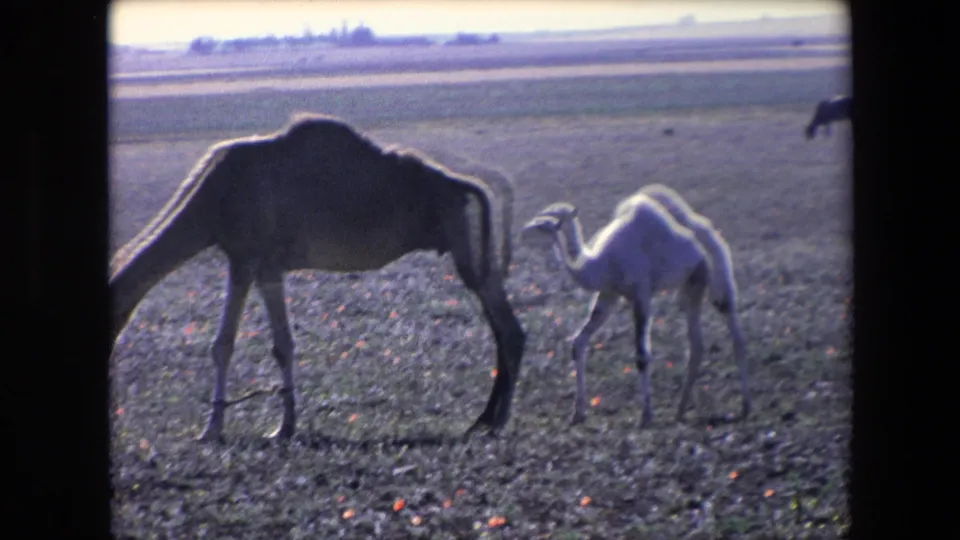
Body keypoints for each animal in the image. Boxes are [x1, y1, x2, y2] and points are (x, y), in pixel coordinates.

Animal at [110, 112, 526, 442]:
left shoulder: (252, 261)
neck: (212, 199)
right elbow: (253, 345)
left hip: (463, 241)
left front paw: (239, 429)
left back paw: (498, 421)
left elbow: (249, 345)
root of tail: (471, 186)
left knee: (507, 328)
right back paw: (483, 420)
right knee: (501, 325)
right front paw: (260, 427)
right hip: (469, 246)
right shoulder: (254, 264)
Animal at [522, 186, 750, 427]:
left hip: (713, 276)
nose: (524, 229)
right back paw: (680, 410)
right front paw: (577, 413)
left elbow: (641, 356)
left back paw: (745, 406)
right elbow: (578, 342)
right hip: (690, 286)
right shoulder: (608, 294)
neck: (600, 263)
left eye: (544, 223)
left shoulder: (641, 294)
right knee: (697, 344)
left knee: (733, 330)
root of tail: (710, 232)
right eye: (541, 214)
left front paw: (646, 416)